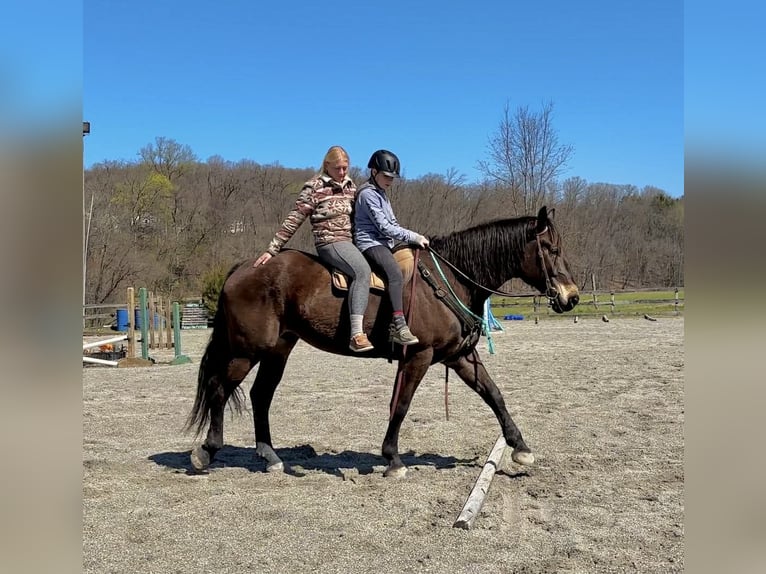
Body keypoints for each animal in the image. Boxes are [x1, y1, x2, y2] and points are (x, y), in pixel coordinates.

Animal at [186, 205, 579, 477]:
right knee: (220, 389)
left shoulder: (460, 357)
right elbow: (401, 406)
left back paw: (270, 456)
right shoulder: (418, 356)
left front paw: (520, 446)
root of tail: (245, 267)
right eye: (550, 248)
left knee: (260, 395)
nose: (572, 296)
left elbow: (494, 395)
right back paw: (207, 451)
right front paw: (392, 458)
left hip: (278, 349)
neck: (447, 279)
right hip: (246, 350)